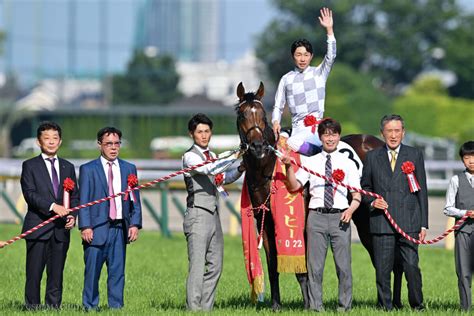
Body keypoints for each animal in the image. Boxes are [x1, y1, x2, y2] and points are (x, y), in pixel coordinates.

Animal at [237, 82, 400, 310]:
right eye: (242, 115)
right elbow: (272, 266)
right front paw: (276, 305)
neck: (267, 171)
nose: (258, 146)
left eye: (263, 116)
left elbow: (303, 269)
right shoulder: (265, 221)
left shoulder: (302, 223)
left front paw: (308, 304)